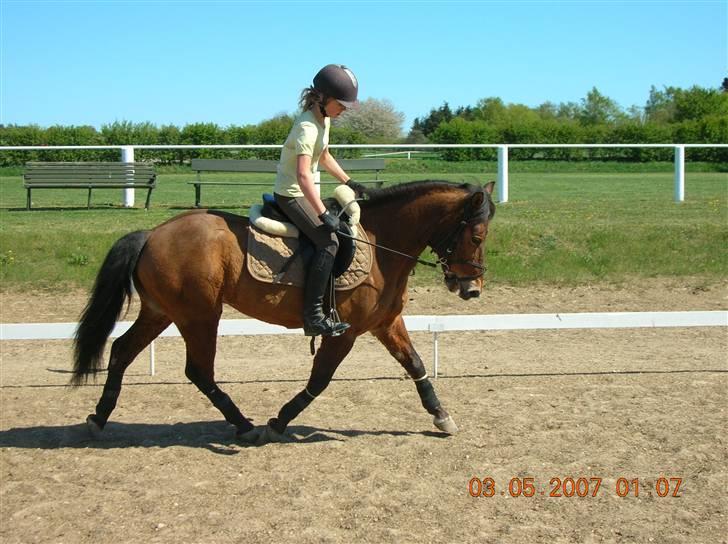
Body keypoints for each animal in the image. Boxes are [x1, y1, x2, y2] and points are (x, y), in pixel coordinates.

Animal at [71, 179, 496, 444]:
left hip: (162, 312)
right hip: (199, 316)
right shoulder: (346, 332)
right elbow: (320, 379)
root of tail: (152, 233)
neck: (381, 245)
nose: (472, 289)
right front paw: (278, 422)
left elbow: (416, 364)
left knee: (122, 351)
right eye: (477, 236)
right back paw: (245, 426)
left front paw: (441, 416)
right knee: (198, 371)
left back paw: (98, 418)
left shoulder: (385, 323)